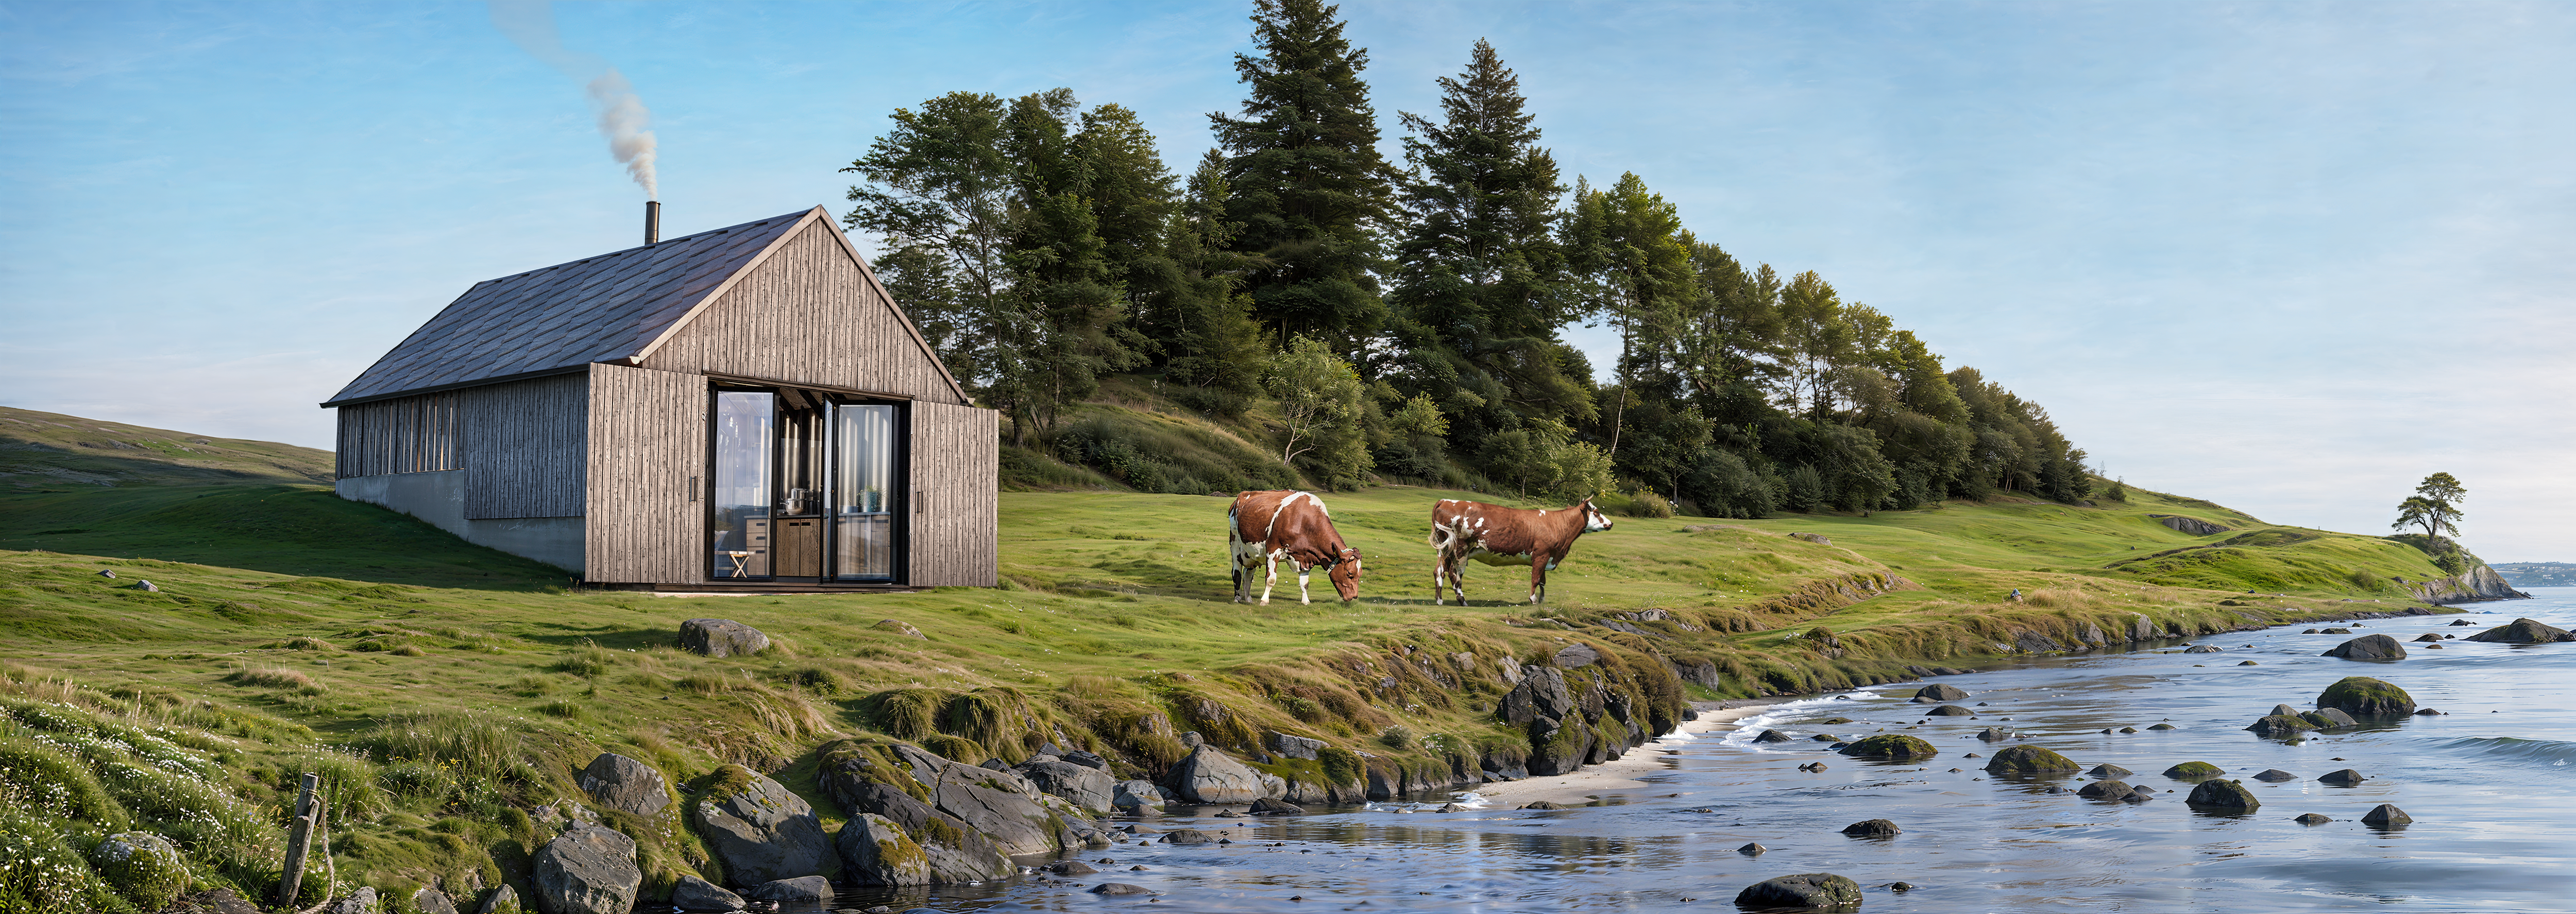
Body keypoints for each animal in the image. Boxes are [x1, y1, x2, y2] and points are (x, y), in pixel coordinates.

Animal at [1231, 492, 1370, 605]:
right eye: (1350, 574)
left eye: (1361, 575)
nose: (1354, 597)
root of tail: (1241, 495)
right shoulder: (1273, 549)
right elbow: (1271, 579)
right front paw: (1264, 601)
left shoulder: (1306, 557)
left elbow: (1305, 583)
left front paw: (1306, 602)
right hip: (1235, 542)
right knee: (1237, 572)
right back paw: (1237, 598)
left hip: (1253, 554)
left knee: (1248, 575)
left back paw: (1248, 598)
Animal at [1432, 497, 1607, 605]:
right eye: (1597, 512)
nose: (1610, 523)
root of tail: (1445, 501)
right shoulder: (1541, 555)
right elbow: (1535, 579)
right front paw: (1533, 599)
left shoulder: (1546, 558)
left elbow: (1543, 581)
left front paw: (1542, 600)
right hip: (1460, 550)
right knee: (1455, 574)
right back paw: (1463, 601)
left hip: (1445, 548)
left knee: (1439, 571)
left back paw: (1439, 600)